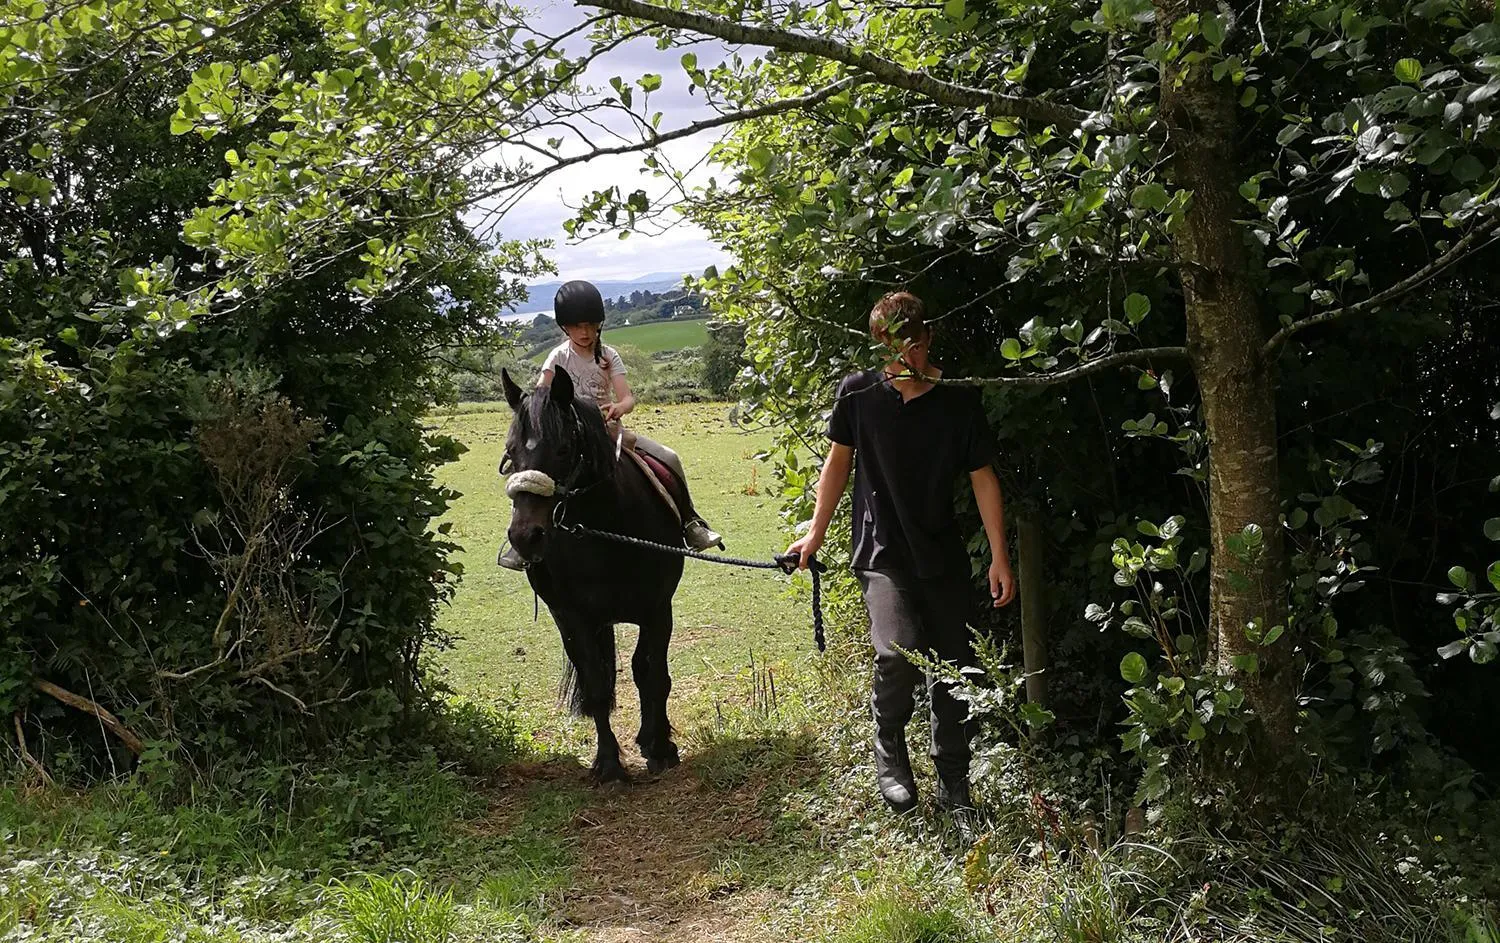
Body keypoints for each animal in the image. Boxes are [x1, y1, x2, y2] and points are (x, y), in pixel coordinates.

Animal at [499, 367, 685, 783]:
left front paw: (660, 746)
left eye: (563, 449)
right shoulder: (572, 618)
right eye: (511, 453)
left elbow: (653, 675)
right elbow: (596, 685)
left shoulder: (657, 610)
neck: (603, 530)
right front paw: (609, 764)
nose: (525, 537)